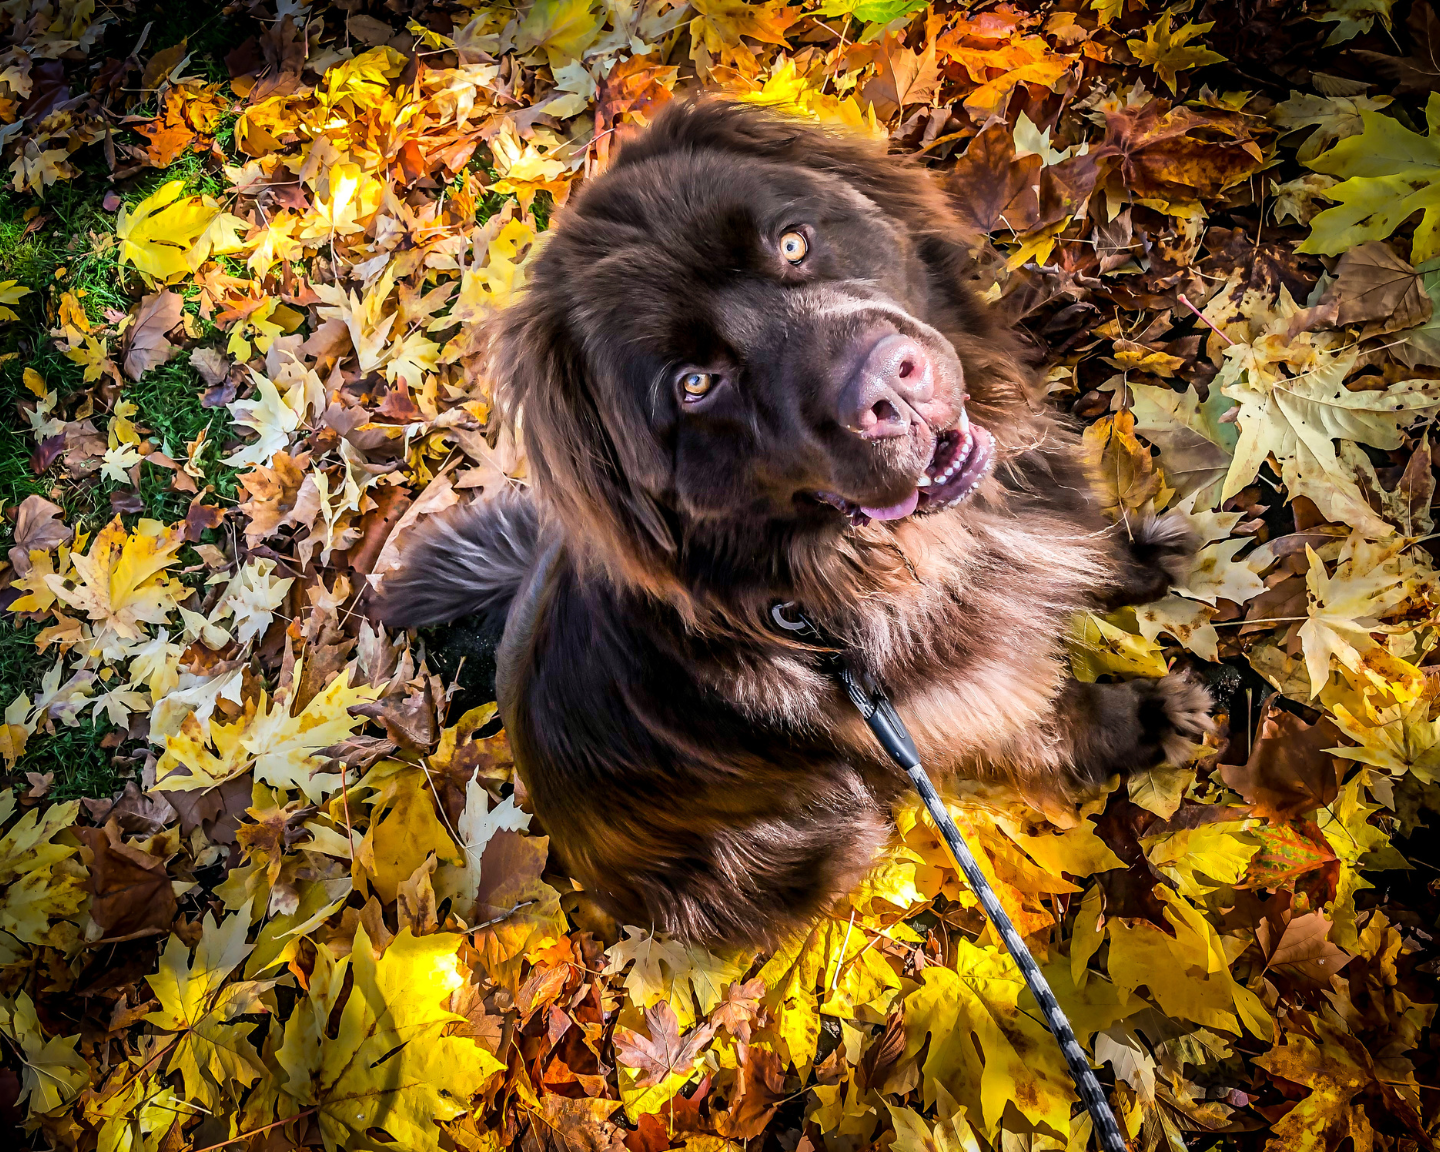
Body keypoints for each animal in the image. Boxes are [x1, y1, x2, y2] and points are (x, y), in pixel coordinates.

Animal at [377, 101, 1209, 944]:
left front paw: (1141, 561)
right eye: (695, 385)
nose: (888, 385)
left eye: (792, 242)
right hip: (821, 828)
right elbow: (1054, 721)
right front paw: (1143, 719)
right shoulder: (960, 708)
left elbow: (1094, 550)